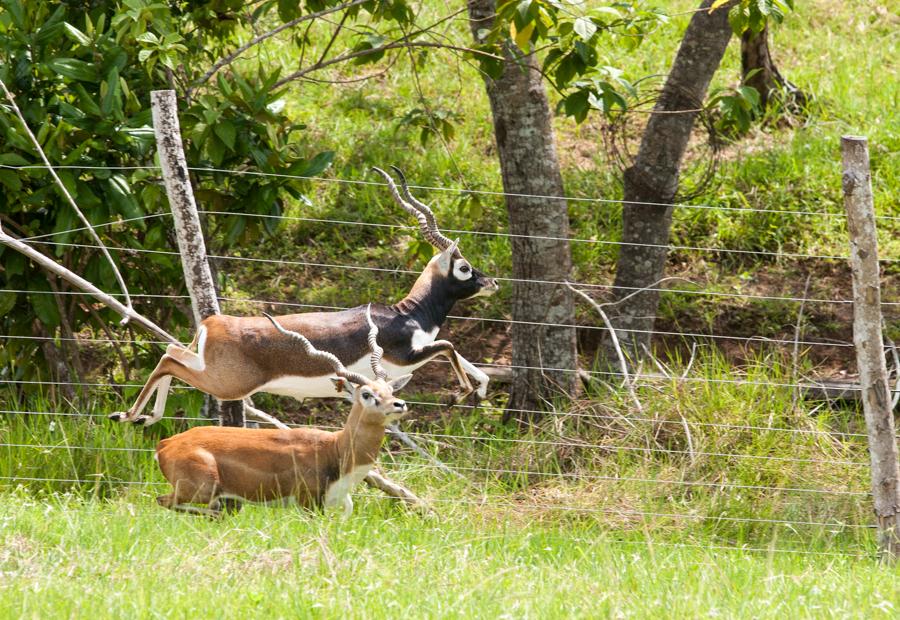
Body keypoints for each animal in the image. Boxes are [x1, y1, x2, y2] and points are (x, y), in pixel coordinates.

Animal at [110, 165, 500, 426]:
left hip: (208, 367)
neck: (408, 314)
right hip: (226, 384)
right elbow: (449, 346)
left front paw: (480, 388)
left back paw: (141, 417)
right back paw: (128, 414)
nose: (492, 282)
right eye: (464, 267)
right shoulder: (405, 357)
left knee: (171, 351)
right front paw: (461, 393)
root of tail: (213, 322)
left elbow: (461, 355)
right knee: (167, 362)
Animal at [153, 306, 414, 520]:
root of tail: (165, 444)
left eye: (390, 389)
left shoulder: (339, 502)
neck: (336, 449)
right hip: (202, 489)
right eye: (367, 394)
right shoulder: (308, 503)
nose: (399, 405)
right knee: (164, 501)